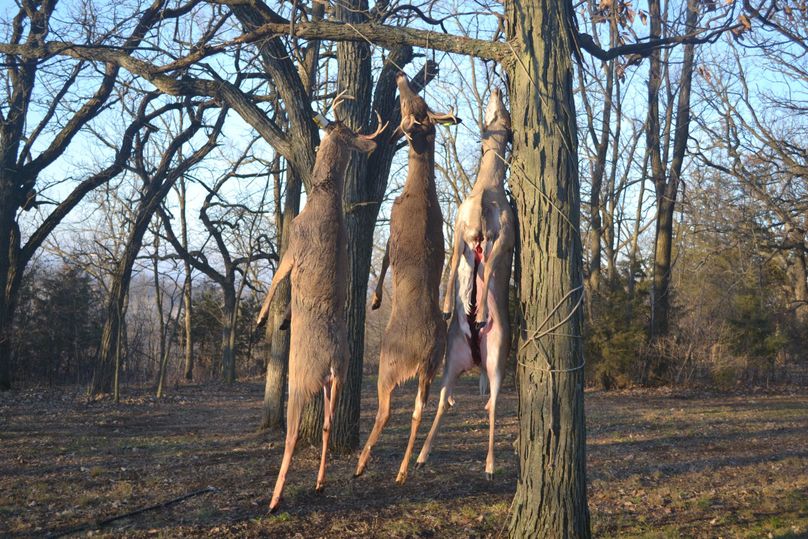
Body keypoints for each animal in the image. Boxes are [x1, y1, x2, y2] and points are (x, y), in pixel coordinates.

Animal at [256, 108, 386, 512]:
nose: (324, 120)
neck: (323, 197)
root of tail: (329, 359)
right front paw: (280, 321)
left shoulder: (293, 247)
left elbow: (277, 278)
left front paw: (262, 318)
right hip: (337, 377)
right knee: (328, 424)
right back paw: (319, 484)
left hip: (301, 379)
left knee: (293, 432)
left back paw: (275, 499)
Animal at [355, 71, 460, 485]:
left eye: (410, 103)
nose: (400, 75)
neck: (416, 191)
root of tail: (423, 352)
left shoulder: (393, 231)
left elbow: (383, 261)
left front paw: (375, 300)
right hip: (431, 369)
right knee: (419, 409)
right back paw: (402, 469)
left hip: (388, 367)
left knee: (386, 410)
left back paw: (363, 461)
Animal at [415, 87, 514, 480]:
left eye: (503, 110)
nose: (499, 88)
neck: (487, 189)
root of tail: (474, 357)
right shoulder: (459, 227)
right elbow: (454, 260)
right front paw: (447, 304)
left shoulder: (503, 235)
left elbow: (491, 269)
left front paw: (481, 307)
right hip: (450, 359)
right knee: (444, 401)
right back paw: (421, 455)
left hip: (498, 355)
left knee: (493, 405)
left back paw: (489, 465)